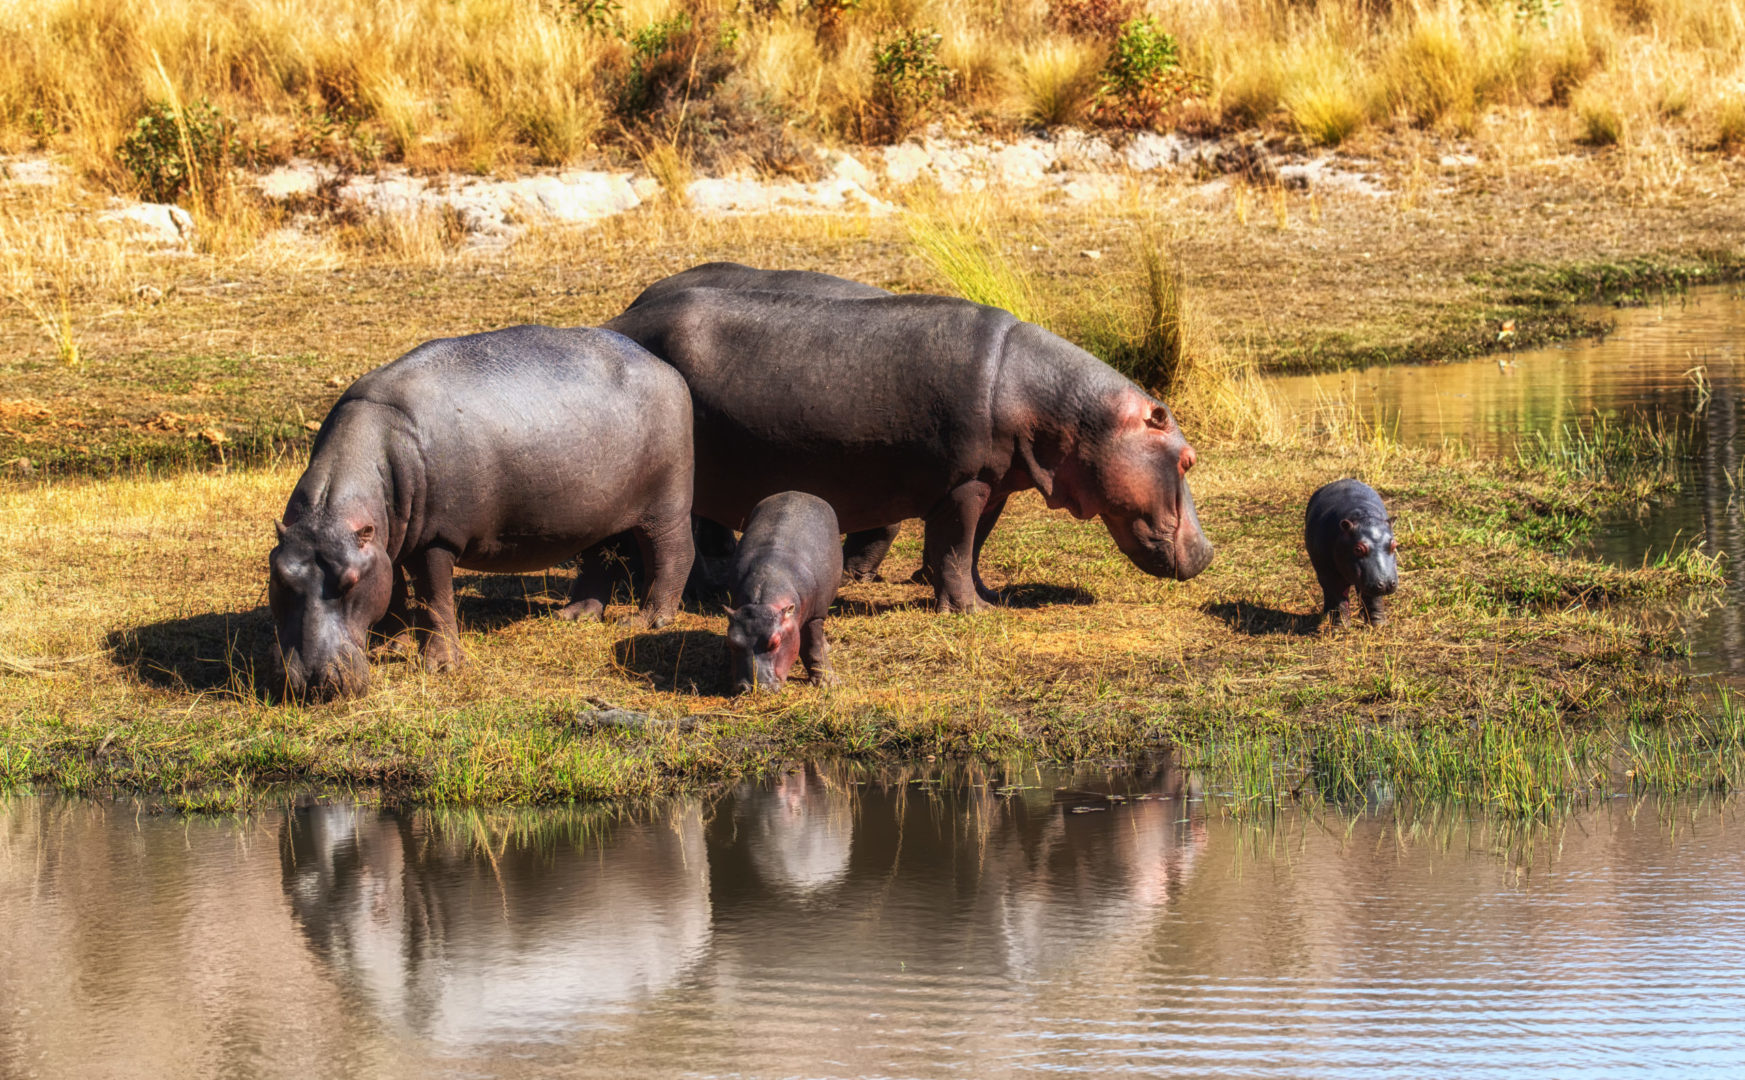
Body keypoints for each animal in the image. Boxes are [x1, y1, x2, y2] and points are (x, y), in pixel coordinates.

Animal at [725, 495, 841, 697]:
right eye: (731, 641)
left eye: (775, 643)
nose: (752, 688)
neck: (763, 603)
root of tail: (799, 492)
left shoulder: (815, 617)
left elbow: (814, 646)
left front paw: (828, 684)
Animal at [1305, 478, 1396, 628]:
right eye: (1358, 549)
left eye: (1394, 545)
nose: (1387, 583)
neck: (1362, 518)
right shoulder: (1331, 574)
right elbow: (1338, 598)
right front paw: (1340, 627)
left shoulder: (1373, 579)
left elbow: (1373, 598)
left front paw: (1378, 625)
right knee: (1329, 593)